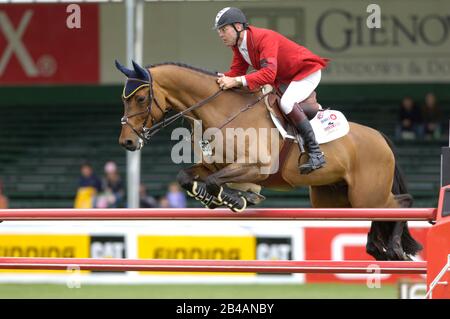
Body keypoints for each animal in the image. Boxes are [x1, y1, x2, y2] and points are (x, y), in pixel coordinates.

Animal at [115, 60, 422, 262]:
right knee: (380, 212)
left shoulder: (256, 168)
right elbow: (188, 176)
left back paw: (393, 247)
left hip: (366, 194)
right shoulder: (216, 165)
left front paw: (237, 198)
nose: (127, 142)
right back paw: (377, 248)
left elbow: (216, 181)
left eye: (140, 99)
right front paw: (210, 196)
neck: (222, 110)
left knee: (401, 204)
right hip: (335, 200)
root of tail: (380, 137)